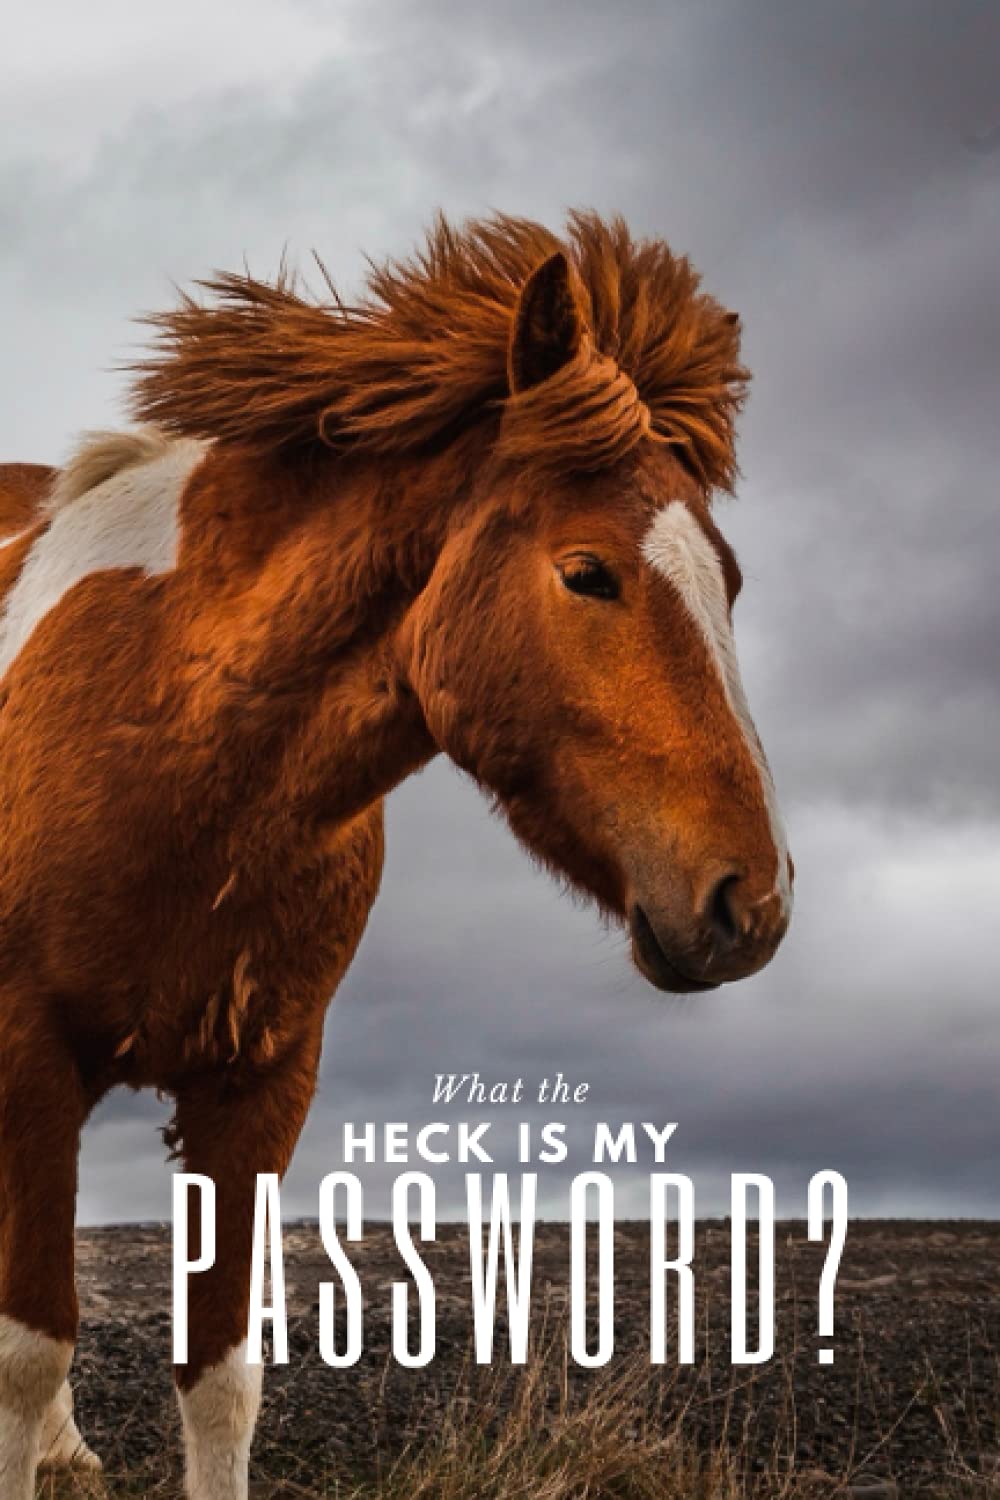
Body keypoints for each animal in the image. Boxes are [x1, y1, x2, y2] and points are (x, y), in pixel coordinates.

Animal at [0, 211, 792, 1499]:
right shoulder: (29, 1058)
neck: (168, 728)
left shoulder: (262, 1082)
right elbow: (27, 1355)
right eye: (587, 571)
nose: (752, 904)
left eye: (726, 581)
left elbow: (220, 1378)